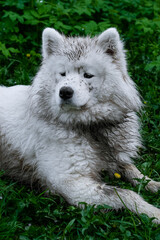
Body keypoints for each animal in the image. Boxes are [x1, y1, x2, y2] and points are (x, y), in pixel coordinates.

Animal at [0, 27, 160, 223]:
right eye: (62, 73)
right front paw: (153, 213)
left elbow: (135, 172)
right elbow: (126, 194)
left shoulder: (114, 160)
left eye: (88, 75)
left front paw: (155, 185)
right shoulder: (71, 184)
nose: (65, 92)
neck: (87, 126)